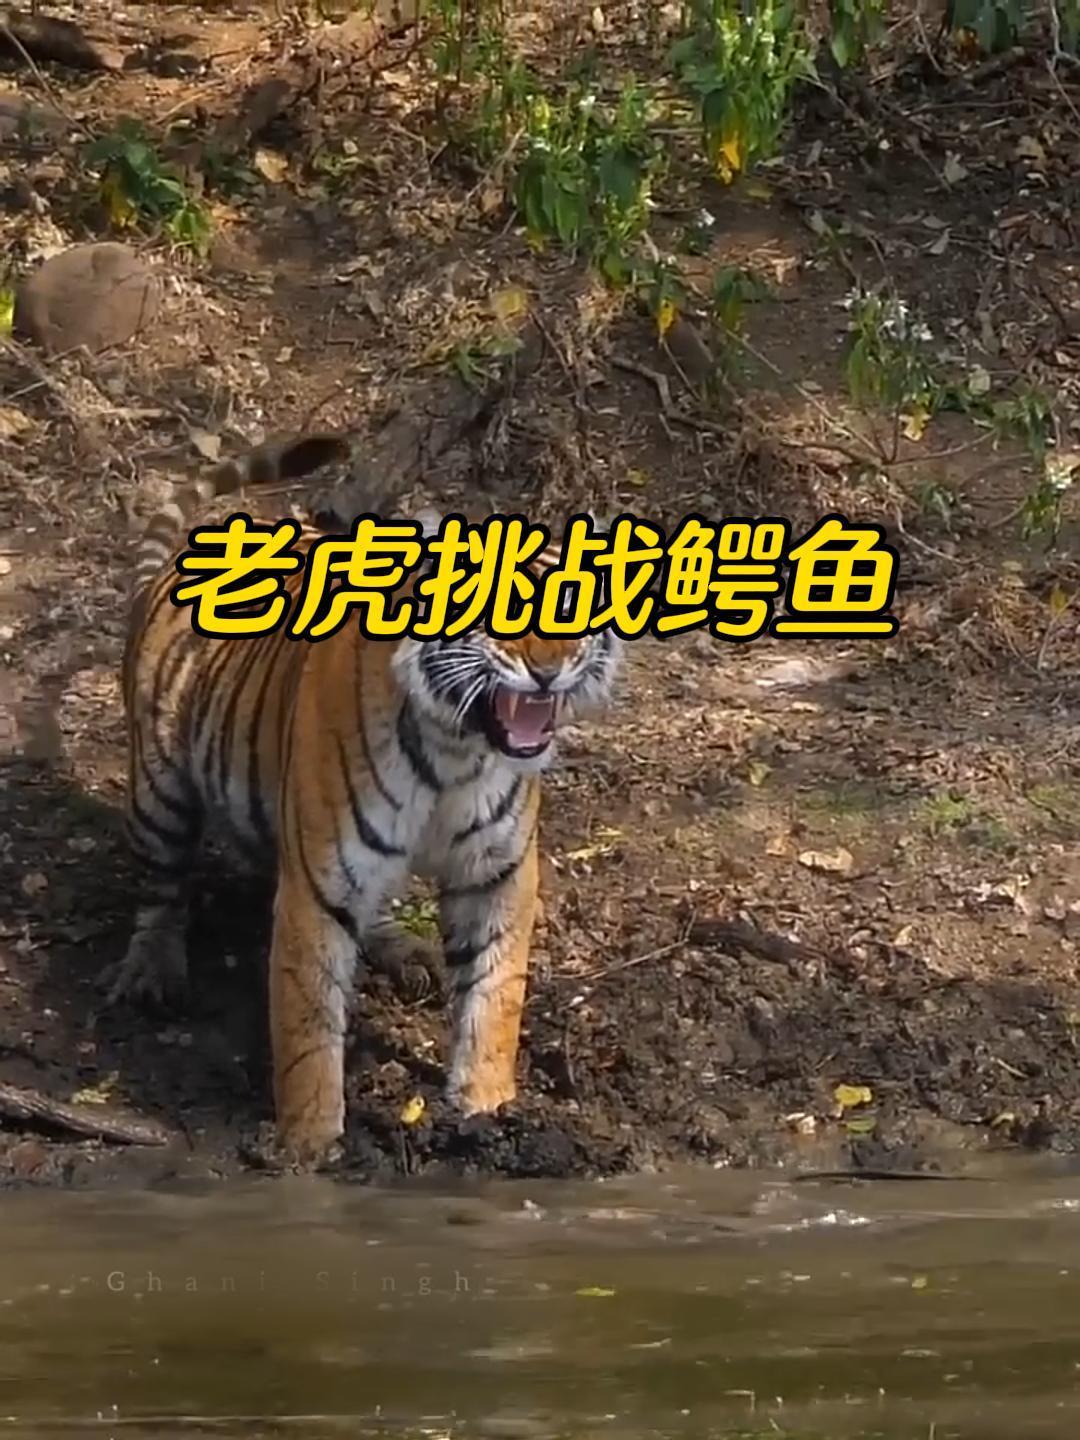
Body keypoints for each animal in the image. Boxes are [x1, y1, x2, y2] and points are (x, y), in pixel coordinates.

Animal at [110, 432, 622, 1165]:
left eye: (574, 602)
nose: (547, 673)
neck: (458, 750)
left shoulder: (497, 874)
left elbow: (493, 997)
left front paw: (490, 1112)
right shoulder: (317, 883)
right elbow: (308, 1025)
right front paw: (310, 1148)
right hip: (160, 791)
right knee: (161, 889)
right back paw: (152, 973)